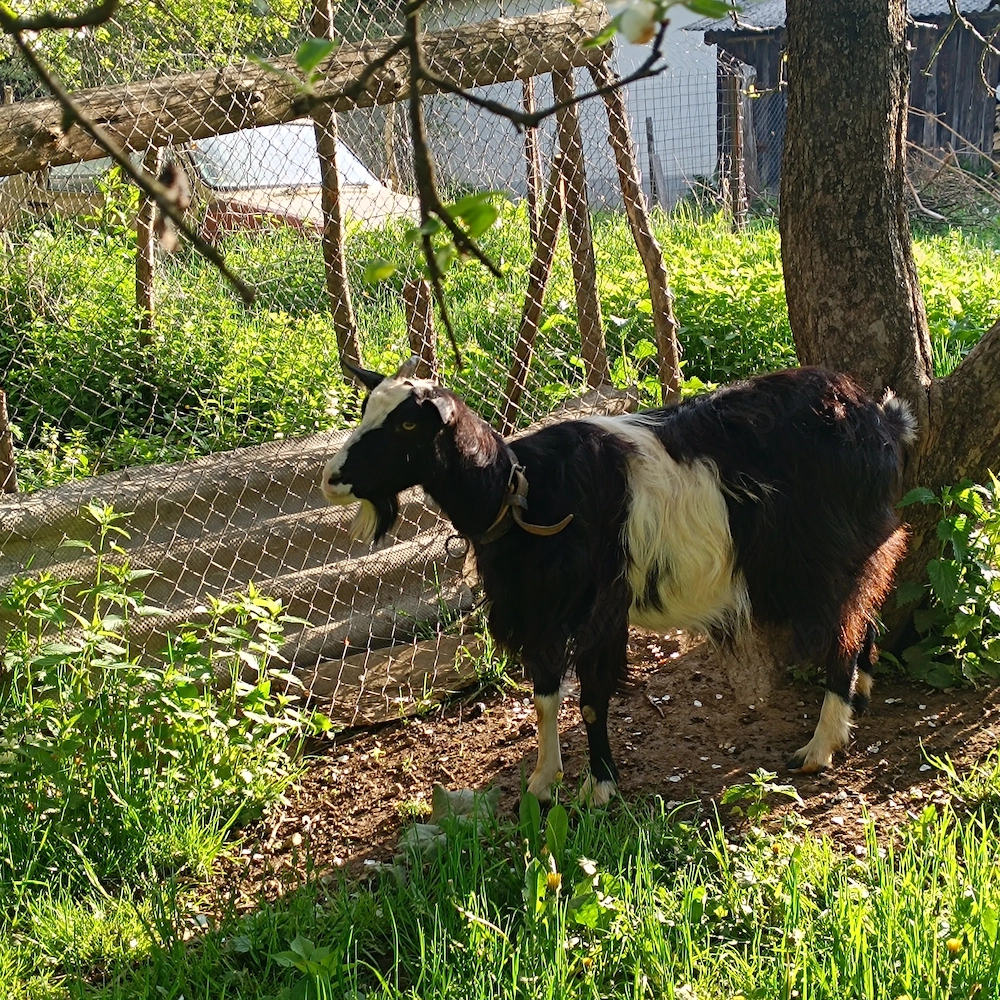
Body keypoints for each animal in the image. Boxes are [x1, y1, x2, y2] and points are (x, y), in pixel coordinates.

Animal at [321, 358, 916, 806]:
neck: (525, 494)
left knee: (841, 633)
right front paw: (543, 781)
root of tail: (882, 419)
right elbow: (545, 698)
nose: (330, 479)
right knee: (865, 612)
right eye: (366, 409)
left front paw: (600, 785)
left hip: (831, 552)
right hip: (862, 546)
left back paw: (821, 745)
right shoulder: (539, 613)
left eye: (406, 425)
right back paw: (861, 693)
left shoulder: (599, 608)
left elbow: (589, 700)